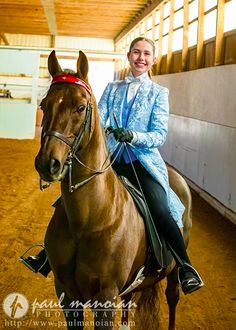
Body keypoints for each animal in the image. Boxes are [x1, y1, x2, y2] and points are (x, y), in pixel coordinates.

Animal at [35, 50, 192, 328]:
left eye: (81, 107)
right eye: (44, 105)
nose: (47, 163)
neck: (88, 219)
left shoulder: (105, 297)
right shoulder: (66, 294)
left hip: (174, 271)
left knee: (172, 297)